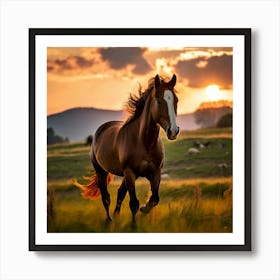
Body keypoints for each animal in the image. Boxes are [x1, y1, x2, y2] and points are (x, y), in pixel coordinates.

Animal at [74, 74, 179, 221]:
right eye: (158, 101)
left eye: (176, 100)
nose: (173, 131)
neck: (144, 143)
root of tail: (101, 128)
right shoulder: (130, 173)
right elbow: (134, 203)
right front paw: (134, 223)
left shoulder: (155, 173)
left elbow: (154, 199)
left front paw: (144, 209)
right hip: (102, 172)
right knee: (106, 198)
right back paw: (109, 221)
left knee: (120, 193)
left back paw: (116, 216)